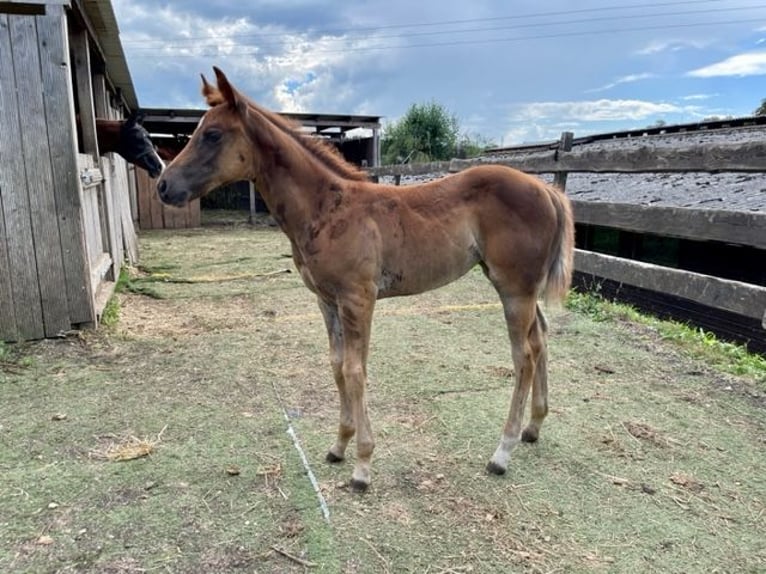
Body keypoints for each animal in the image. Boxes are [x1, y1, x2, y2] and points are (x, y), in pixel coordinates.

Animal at [156, 67, 575, 493]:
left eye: (212, 134)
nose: (163, 185)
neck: (327, 209)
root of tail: (547, 190)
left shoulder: (359, 298)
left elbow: (356, 372)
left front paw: (362, 465)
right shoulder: (327, 301)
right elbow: (337, 365)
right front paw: (339, 446)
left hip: (514, 288)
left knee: (523, 356)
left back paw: (501, 453)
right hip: (517, 287)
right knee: (540, 340)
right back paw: (533, 427)